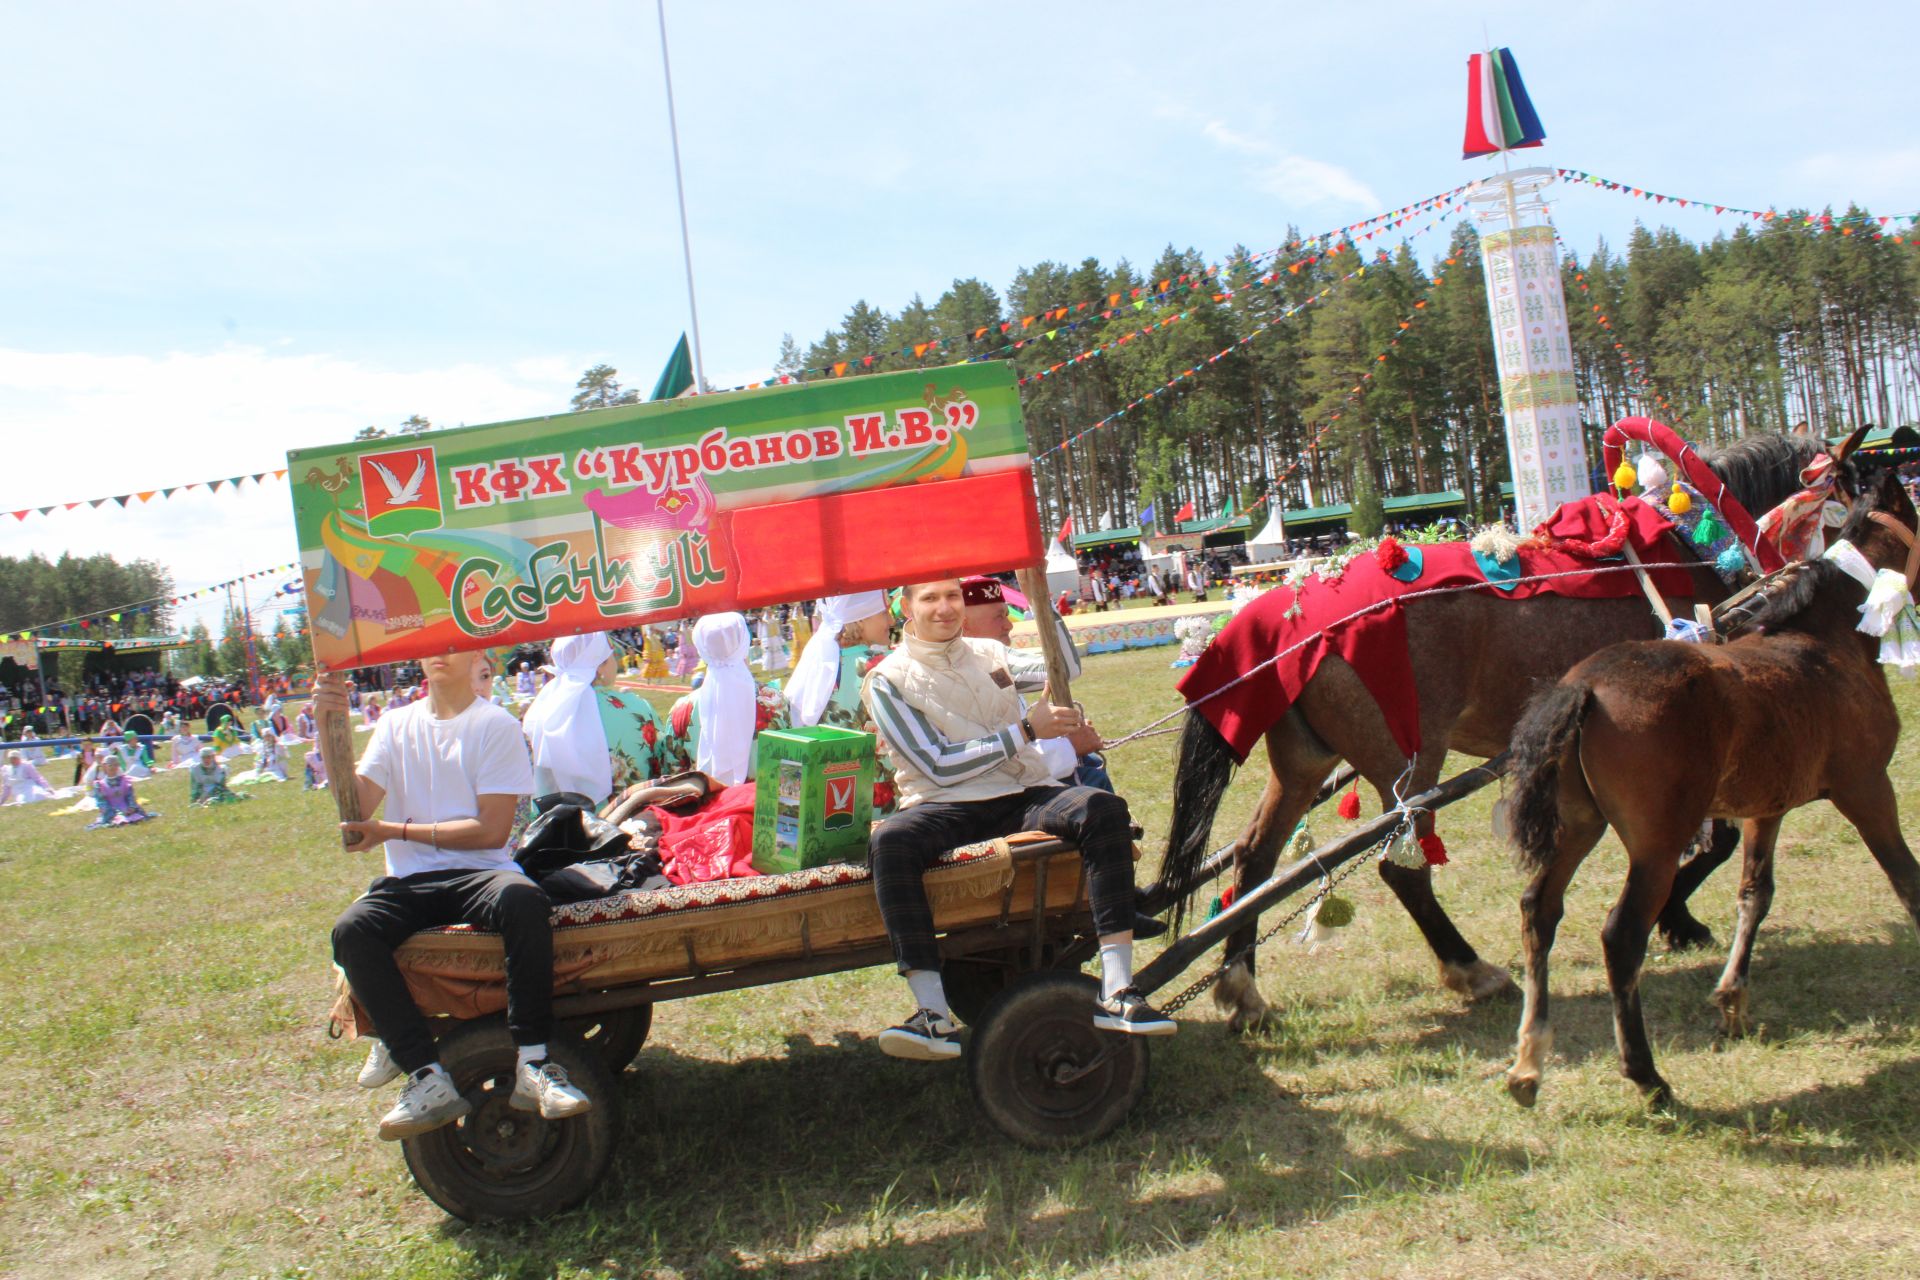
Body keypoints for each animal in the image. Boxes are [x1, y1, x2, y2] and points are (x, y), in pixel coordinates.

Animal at [1144, 427, 1866, 1028]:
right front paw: (1676, 918)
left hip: (1303, 760)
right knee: (1401, 869)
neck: (1693, 544)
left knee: (1254, 860)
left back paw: (1244, 989)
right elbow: (1712, 841)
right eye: (1857, 493)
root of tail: (1283, 604)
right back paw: (1472, 970)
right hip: (1409, 761)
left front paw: (1676, 919)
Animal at [1497, 470, 1920, 1113]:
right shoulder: (1868, 789)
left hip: (1580, 825)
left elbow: (1755, 893)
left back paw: (1527, 1064)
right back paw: (1648, 1078)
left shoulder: (1767, 808)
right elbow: (1907, 880)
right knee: (1621, 936)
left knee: (1539, 909)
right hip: (1656, 843)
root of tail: (1583, 689)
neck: (1830, 644)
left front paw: (1732, 1002)